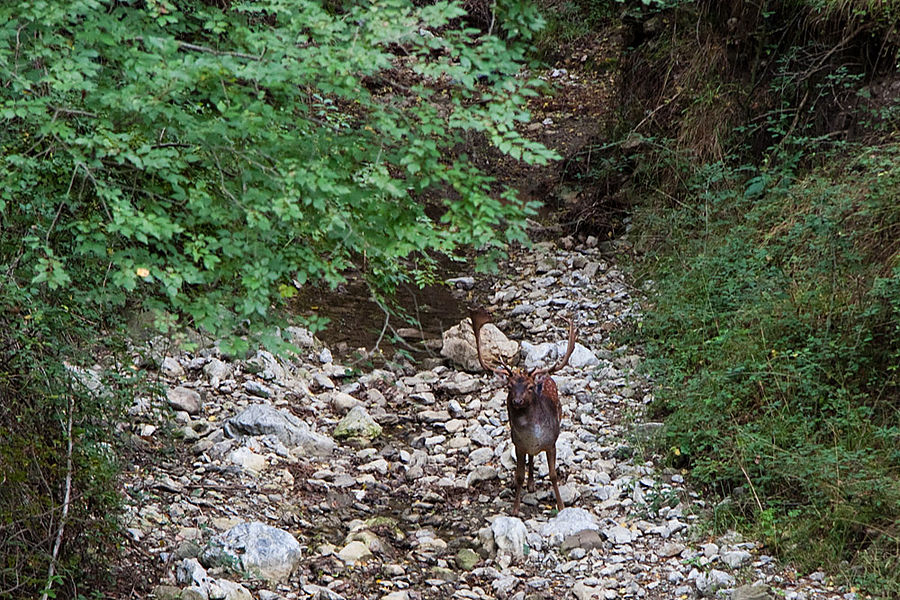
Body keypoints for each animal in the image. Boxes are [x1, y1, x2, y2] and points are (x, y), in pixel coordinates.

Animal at [472, 308, 576, 512]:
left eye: (529, 387)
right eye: (509, 386)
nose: (517, 400)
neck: (533, 437)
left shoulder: (551, 443)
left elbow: (553, 475)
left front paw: (561, 506)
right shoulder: (518, 444)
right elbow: (519, 476)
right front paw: (515, 509)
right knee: (530, 457)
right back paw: (530, 482)